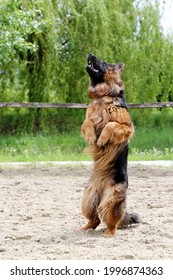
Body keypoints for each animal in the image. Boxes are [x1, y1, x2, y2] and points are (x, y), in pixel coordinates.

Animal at [79, 54, 140, 236]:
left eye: (104, 63)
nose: (90, 54)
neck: (103, 95)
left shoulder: (126, 127)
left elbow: (110, 125)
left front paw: (101, 139)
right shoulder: (88, 117)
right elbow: (87, 122)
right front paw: (92, 136)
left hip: (110, 200)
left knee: (112, 222)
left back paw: (109, 234)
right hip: (88, 198)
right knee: (94, 220)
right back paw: (83, 228)